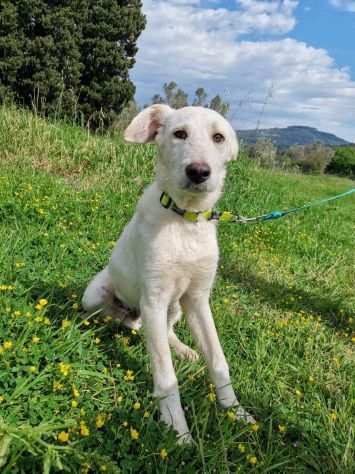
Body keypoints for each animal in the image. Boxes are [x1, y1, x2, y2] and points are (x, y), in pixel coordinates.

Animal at [82, 103, 256, 440]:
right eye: (179, 134)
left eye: (218, 137)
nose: (199, 171)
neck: (185, 219)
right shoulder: (153, 298)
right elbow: (165, 376)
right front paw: (177, 429)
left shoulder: (198, 299)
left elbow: (218, 360)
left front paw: (235, 410)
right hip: (97, 297)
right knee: (131, 323)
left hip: (176, 306)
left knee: (165, 330)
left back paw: (185, 350)